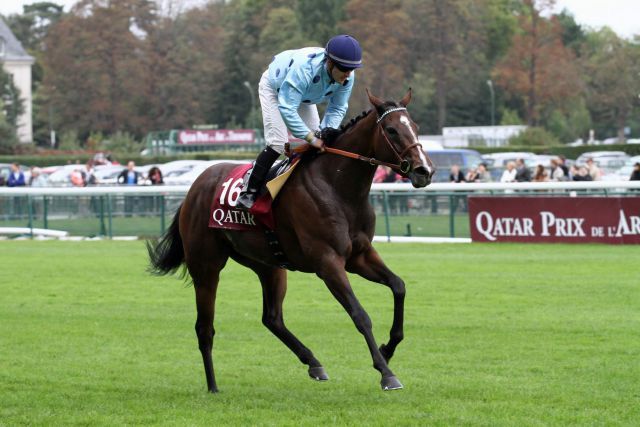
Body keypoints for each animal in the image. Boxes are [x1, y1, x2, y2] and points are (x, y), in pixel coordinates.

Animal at [148, 88, 436, 392]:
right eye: (391, 130)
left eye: (415, 126)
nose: (424, 171)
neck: (337, 187)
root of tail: (194, 187)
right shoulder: (328, 262)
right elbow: (360, 315)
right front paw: (386, 372)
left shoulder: (359, 256)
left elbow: (399, 286)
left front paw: (387, 348)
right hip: (206, 265)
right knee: (205, 327)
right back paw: (213, 386)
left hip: (269, 265)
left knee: (272, 318)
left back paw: (314, 363)